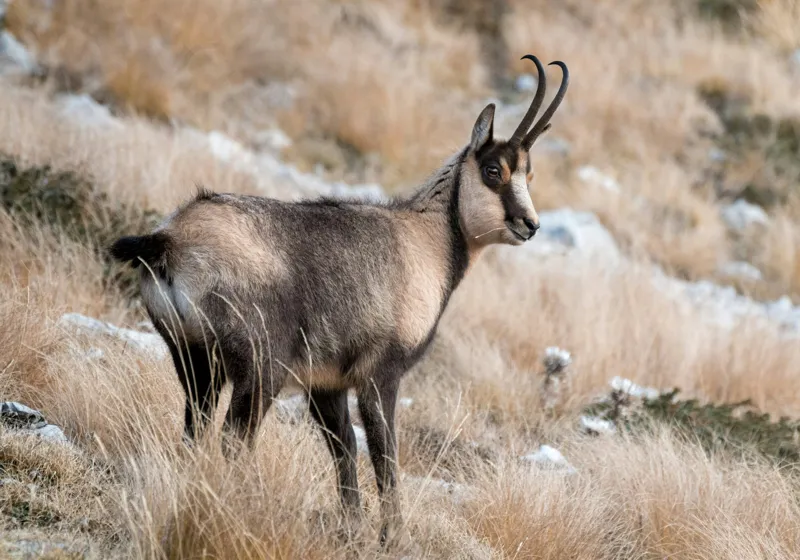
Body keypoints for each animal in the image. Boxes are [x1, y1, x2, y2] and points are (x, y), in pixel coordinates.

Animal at [110, 54, 569, 548]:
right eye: (493, 171)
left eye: (528, 173)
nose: (530, 225)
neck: (426, 242)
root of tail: (170, 239)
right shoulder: (380, 374)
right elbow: (384, 455)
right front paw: (393, 536)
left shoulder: (326, 383)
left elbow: (343, 447)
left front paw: (354, 527)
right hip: (259, 368)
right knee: (235, 439)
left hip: (193, 359)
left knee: (195, 429)